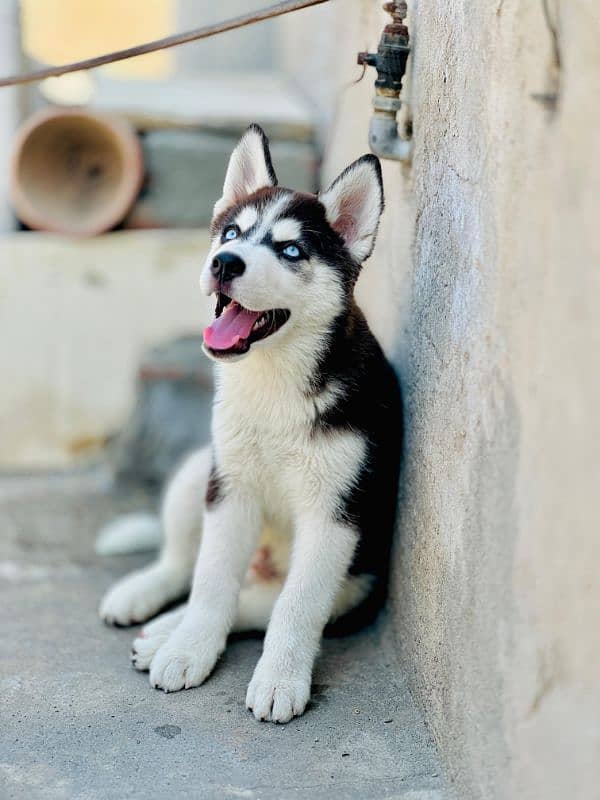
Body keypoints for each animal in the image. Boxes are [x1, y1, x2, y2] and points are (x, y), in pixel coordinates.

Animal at [101, 125, 404, 724]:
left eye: (290, 250)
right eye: (232, 232)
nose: (225, 262)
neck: (273, 381)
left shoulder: (335, 517)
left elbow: (296, 606)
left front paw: (279, 678)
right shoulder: (231, 490)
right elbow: (211, 579)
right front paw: (190, 648)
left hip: (356, 583)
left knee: (263, 601)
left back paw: (162, 633)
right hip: (203, 470)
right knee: (184, 564)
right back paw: (151, 605)